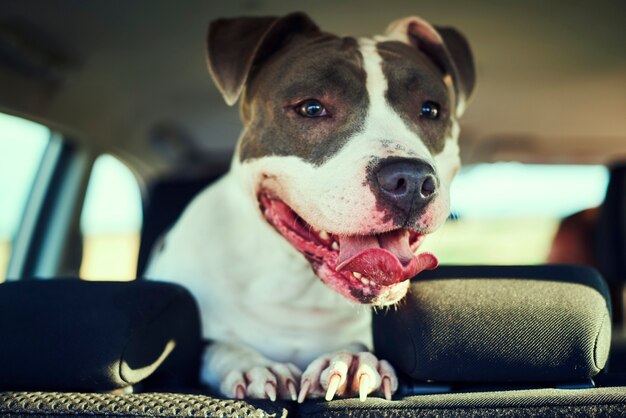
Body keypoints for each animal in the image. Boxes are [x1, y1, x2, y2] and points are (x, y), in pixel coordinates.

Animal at [146, 13, 472, 404]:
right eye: (312, 108)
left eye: (430, 109)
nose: (409, 180)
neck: (296, 286)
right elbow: (216, 347)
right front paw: (253, 365)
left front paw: (349, 359)